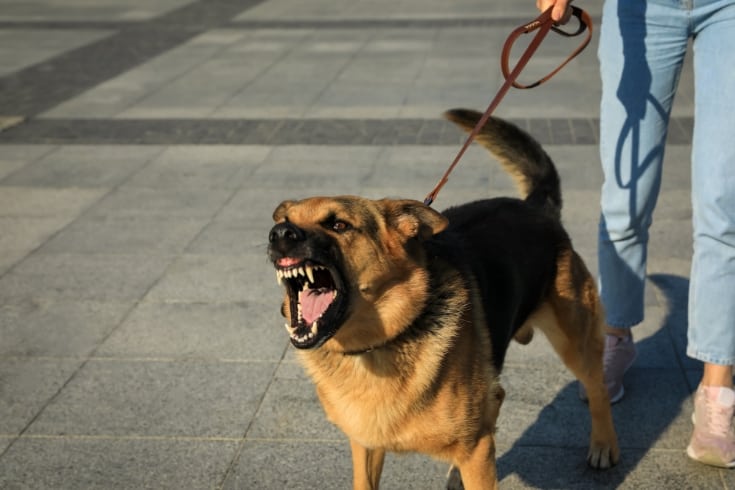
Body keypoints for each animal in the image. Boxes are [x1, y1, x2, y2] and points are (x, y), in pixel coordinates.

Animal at [268, 111, 620, 490]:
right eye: (285, 221)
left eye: (338, 225)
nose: (278, 234)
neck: (380, 343)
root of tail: (536, 208)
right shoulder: (366, 445)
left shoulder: (477, 451)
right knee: (499, 400)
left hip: (575, 342)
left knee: (597, 386)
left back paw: (604, 445)